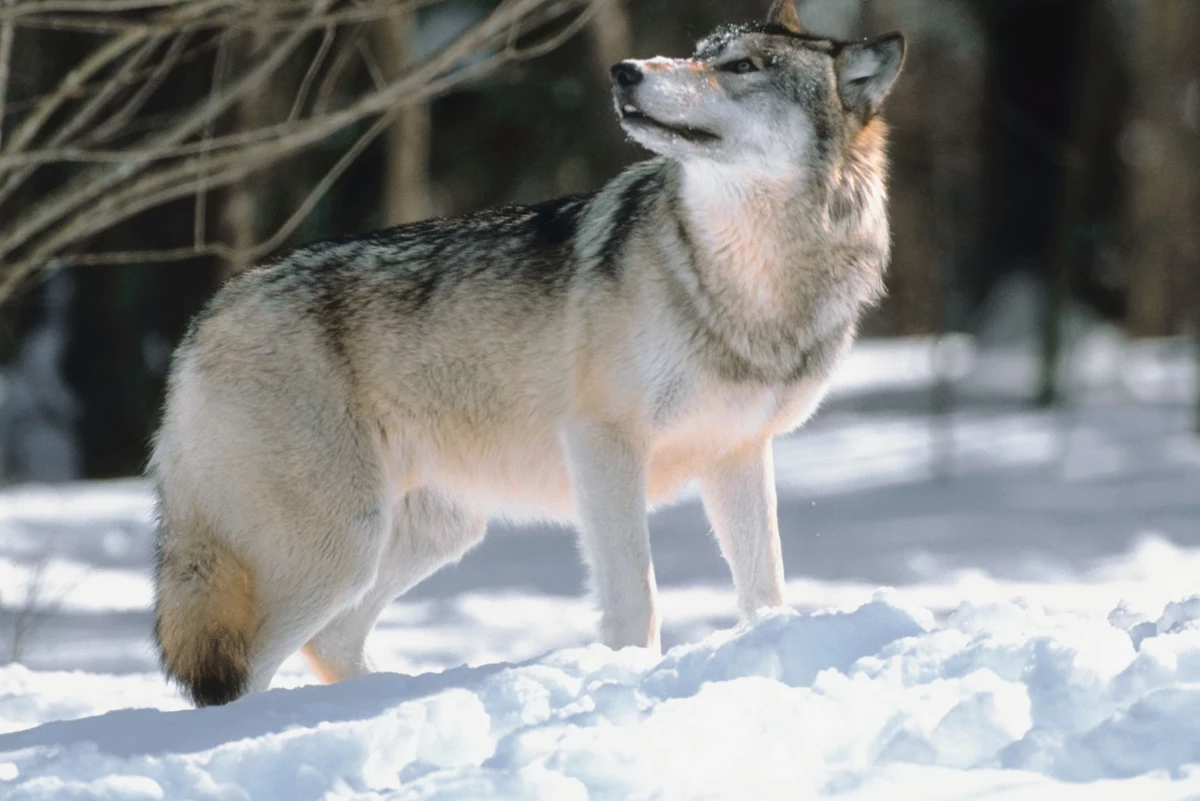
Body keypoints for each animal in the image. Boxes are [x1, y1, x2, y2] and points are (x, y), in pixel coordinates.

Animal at [151, 0, 904, 706]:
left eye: (742, 66)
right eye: (699, 53)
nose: (625, 70)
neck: (749, 283)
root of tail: (206, 317)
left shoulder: (738, 454)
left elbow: (765, 591)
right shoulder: (603, 445)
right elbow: (636, 598)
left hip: (432, 533)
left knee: (330, 640)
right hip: (341, 547)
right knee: (242, 671)